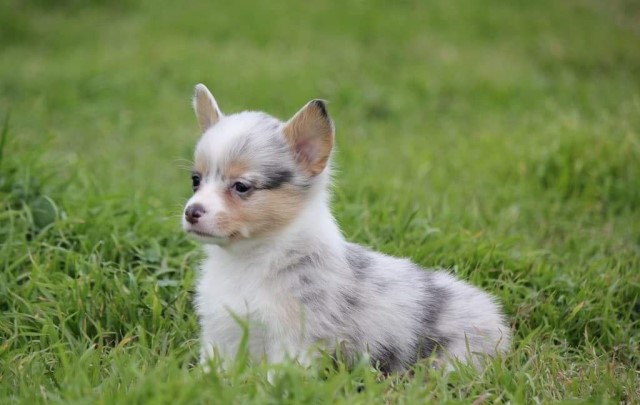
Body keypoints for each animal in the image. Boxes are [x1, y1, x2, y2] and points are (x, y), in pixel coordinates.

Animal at [181, 83, 510, 372]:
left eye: (241, 187)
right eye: (196, 180)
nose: (191, 212)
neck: (249, 260)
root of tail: (497, 317)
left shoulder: (292, 342)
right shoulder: (220, 335)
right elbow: (213, 372)